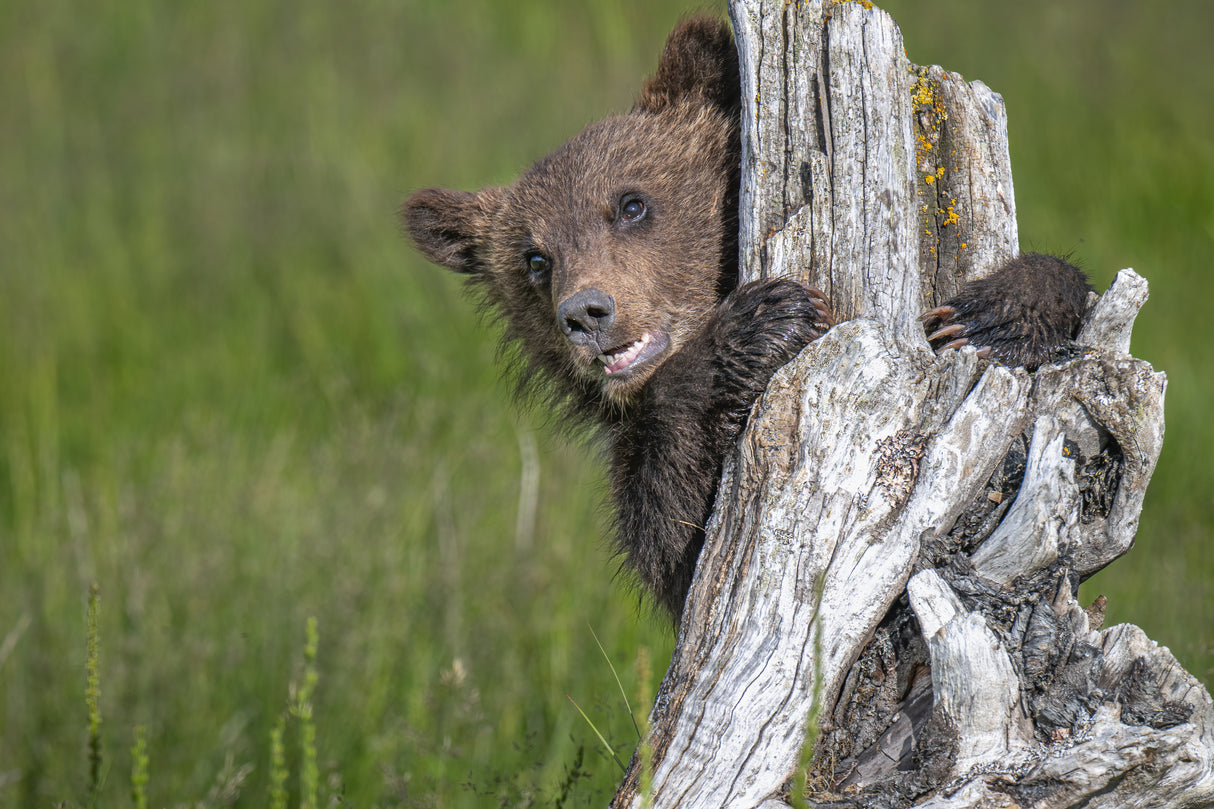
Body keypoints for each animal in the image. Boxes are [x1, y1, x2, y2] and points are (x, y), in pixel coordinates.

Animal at [404, 16, 1090, 624]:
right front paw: (762, 324)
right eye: (535, 259)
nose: (586, 312)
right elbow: (676, 541)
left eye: (632, 204)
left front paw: (994, 314)